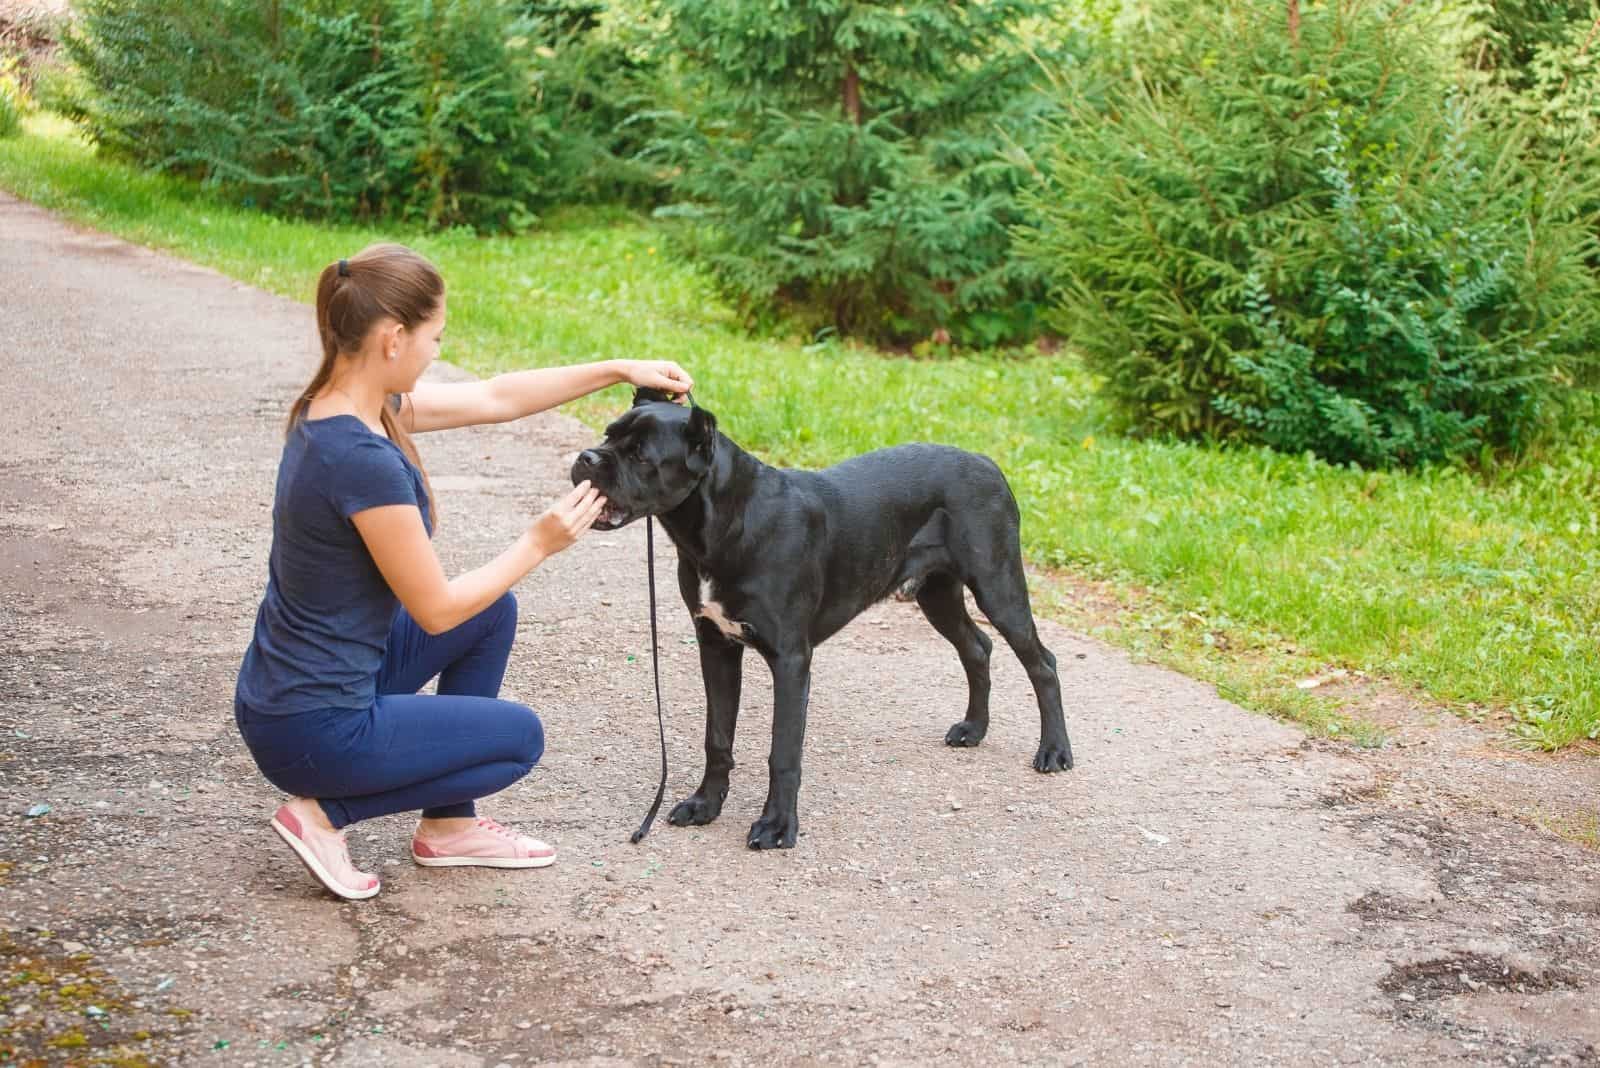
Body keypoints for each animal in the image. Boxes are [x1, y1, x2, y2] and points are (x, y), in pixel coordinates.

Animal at [569, 391, 1068, 850]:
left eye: (640, 454)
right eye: (609, 435)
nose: (586, 457)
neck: (727, 521)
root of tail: (987, 462)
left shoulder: (790, 660)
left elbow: (783, 751)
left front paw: (776, 827)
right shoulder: (716, 645)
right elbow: (718, 737)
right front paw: (705, 805)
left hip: (997, 585)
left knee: (1041, 663)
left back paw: (1054, 751)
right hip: (937, 592)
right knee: (977, 647)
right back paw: (973, 729)